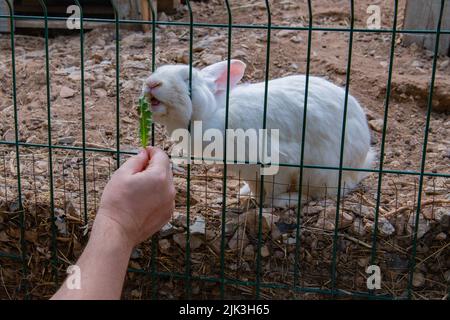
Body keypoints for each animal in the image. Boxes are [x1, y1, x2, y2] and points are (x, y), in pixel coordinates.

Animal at [142, 60, 374, 208]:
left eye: (187, 79)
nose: (152, 83)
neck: (211, 113)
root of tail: (358, 164)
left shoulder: (278, 165)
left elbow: (273, 191)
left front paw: (270, 204)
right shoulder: (248, 171)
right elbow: (256, 187)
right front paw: (250, 195)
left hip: (318, 173)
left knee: (324, 193)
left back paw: (294, 199)